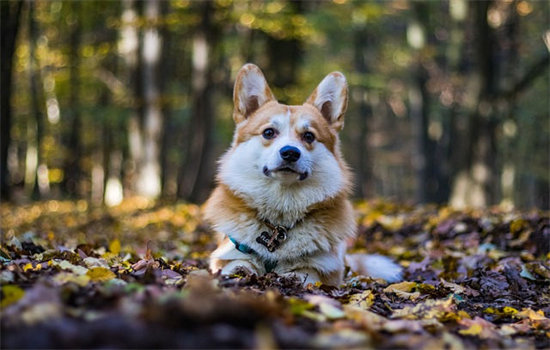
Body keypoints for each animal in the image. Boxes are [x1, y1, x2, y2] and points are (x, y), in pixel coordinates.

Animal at [205, 64, 404, 286]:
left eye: (309, 136)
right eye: (268, 132)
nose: (290, 153)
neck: (279, 221)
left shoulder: (326, 268)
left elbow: (306, 274)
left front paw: (290, 277)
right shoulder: (228, 253)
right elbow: (235, 265)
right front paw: (241, 272)